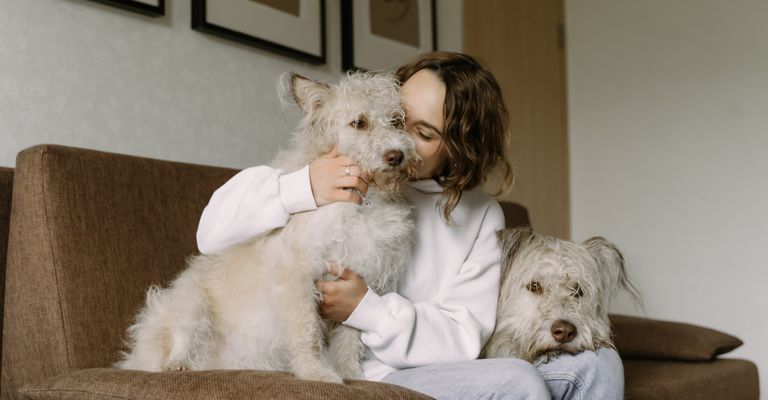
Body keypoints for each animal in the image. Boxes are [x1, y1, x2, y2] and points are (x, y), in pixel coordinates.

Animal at [118, 72, 420, 384]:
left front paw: (351, 374)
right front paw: (314, 372)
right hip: (188, 298)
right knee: (178, 337)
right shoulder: (297, 275)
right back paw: (176, 364)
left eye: (396, 121)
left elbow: (349, 340)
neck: (363, 200)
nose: (397, 156)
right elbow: (306, 332)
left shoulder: (362, 280)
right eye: (359, 122)